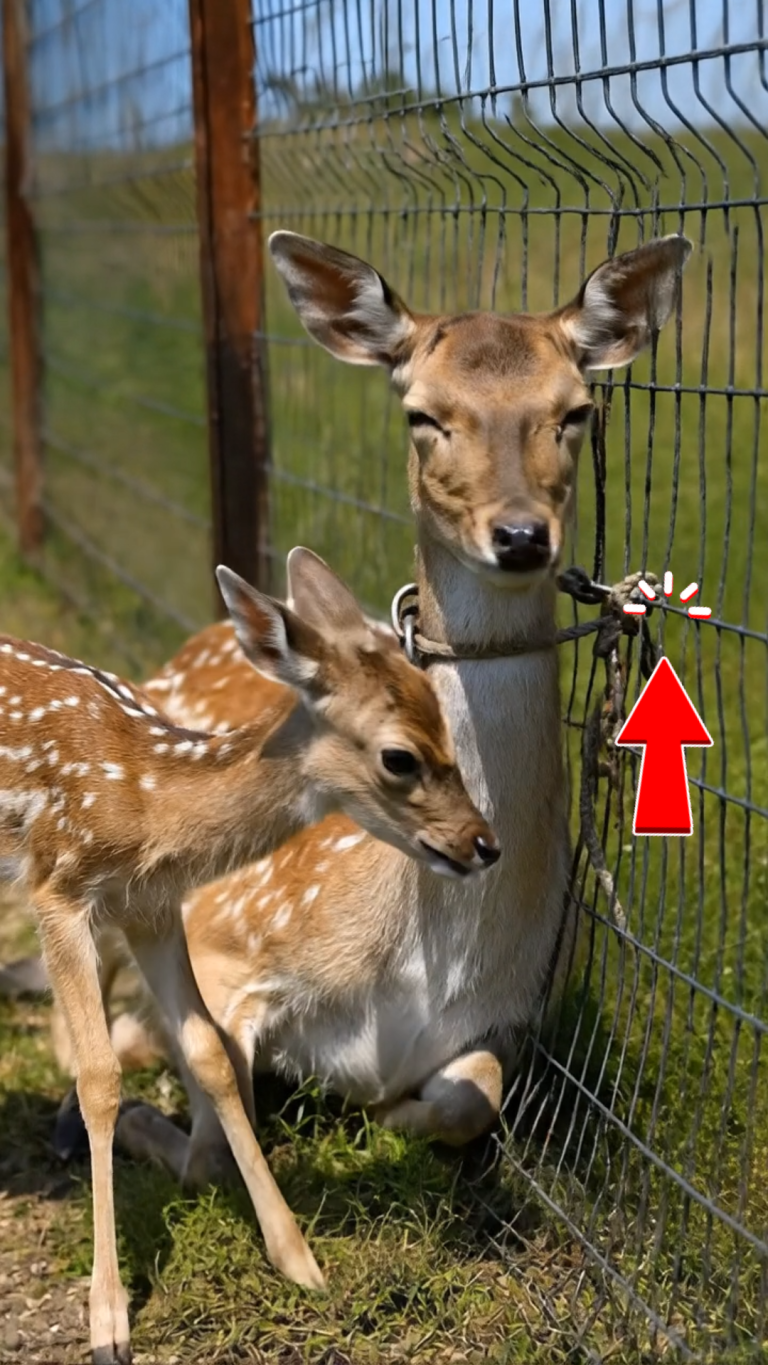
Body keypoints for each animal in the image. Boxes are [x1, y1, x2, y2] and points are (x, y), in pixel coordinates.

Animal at [0, 546, 500, 1365]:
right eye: (399, 756)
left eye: (449, 728)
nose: (483, 842)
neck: (148, 803)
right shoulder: (58, 884)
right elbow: (98, 1075)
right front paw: (108, 1322)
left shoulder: (150, 904)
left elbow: (208, 1051)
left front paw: (300, 1260)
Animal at [74, 230, 692, 1194]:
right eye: (421, 415)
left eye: (576, 411)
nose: (522, 536)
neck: (418, 962)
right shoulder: (222, 931)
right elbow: (214, 1138)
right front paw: (143, 1107)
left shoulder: (515, 1021)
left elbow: (471, 1100)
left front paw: (381, 1112)